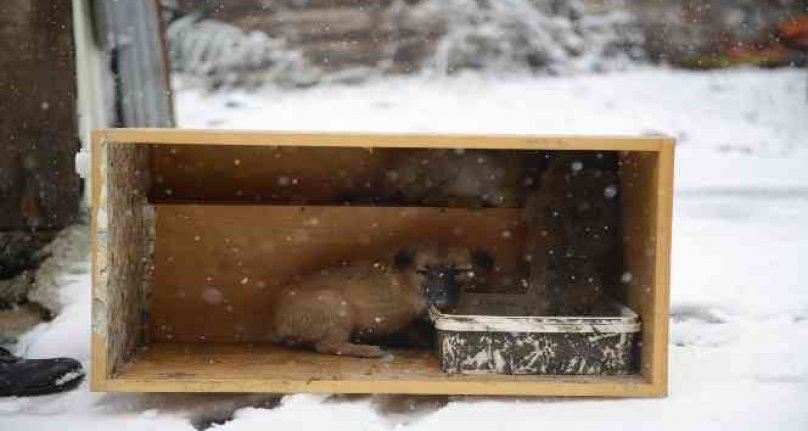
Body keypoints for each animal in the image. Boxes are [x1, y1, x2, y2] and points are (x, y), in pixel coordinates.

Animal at [270, 245, 492, 360]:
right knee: (328, 345)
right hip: (335, 304)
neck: (408, 279)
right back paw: (368, 350)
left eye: (457, 271)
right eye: (423, 271)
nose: (439, 294)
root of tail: (278, 321)